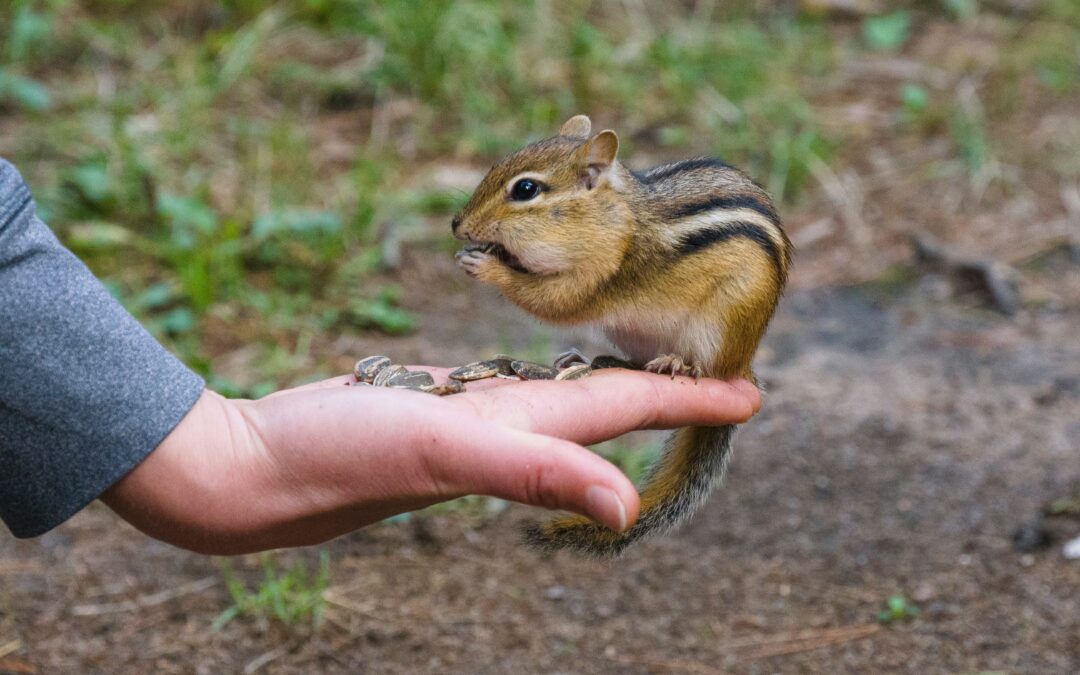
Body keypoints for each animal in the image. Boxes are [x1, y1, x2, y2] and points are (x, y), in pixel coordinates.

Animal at [452, 114, 791, 557]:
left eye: (525, 189)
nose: (456, 225)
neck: (614, 219)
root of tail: (745, 364)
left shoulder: (602, 273)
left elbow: (555, 303)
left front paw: (486, 266)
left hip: (721, 327)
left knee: (710, 369)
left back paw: (678, 363)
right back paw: (593, 360)